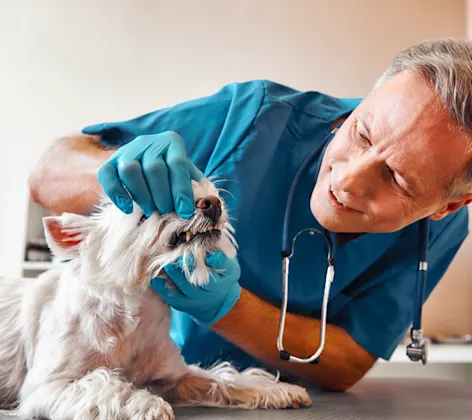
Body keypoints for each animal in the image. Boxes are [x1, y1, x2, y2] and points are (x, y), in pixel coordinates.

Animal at [0, 177, 312, 420]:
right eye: (145, 214)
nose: (211, 202)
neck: (137, 317)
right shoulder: (49, 386)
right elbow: (103, 384)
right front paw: (145, 403)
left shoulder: (175, 375)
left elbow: (222, 378)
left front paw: (278, 389)